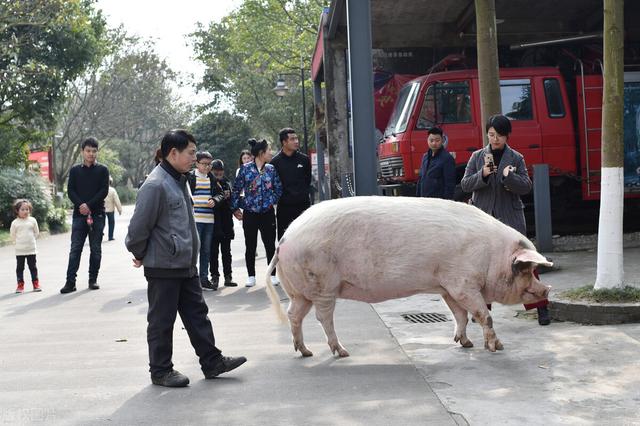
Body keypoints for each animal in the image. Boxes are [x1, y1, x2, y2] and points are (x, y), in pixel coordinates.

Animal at [264, 196, 552, 356]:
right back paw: (342, 352)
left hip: (301, 291)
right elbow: (484, 315)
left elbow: (460, 315)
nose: (547, 289)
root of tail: (284, 240)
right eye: (528, 270)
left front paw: (466, 344)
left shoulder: (447, 286)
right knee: (323, 318)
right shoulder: (463, 283)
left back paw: (305, 352)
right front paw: (498, 348)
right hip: (322, 284)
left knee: (293, 315)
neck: (492, 255)